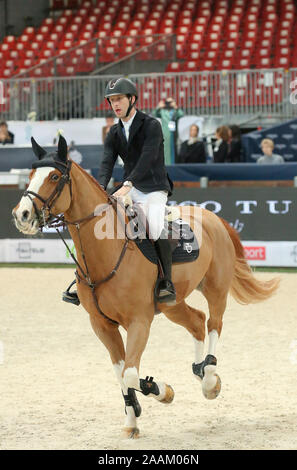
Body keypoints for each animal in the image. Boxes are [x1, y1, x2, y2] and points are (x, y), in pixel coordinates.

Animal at [12, 136, 278, 436]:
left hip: (216, 289)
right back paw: (198, 369)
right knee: (197, 321)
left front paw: (163, 391)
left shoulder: (139, 321)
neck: (106, 252)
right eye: (31, 176)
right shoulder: (101, 325)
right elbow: (121, 372)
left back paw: (209, 380)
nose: (21, 215)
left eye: (55, 176)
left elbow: (130, 373)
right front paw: (132, 420)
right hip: (172, 304)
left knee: (214, 324)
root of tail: (214, 218)